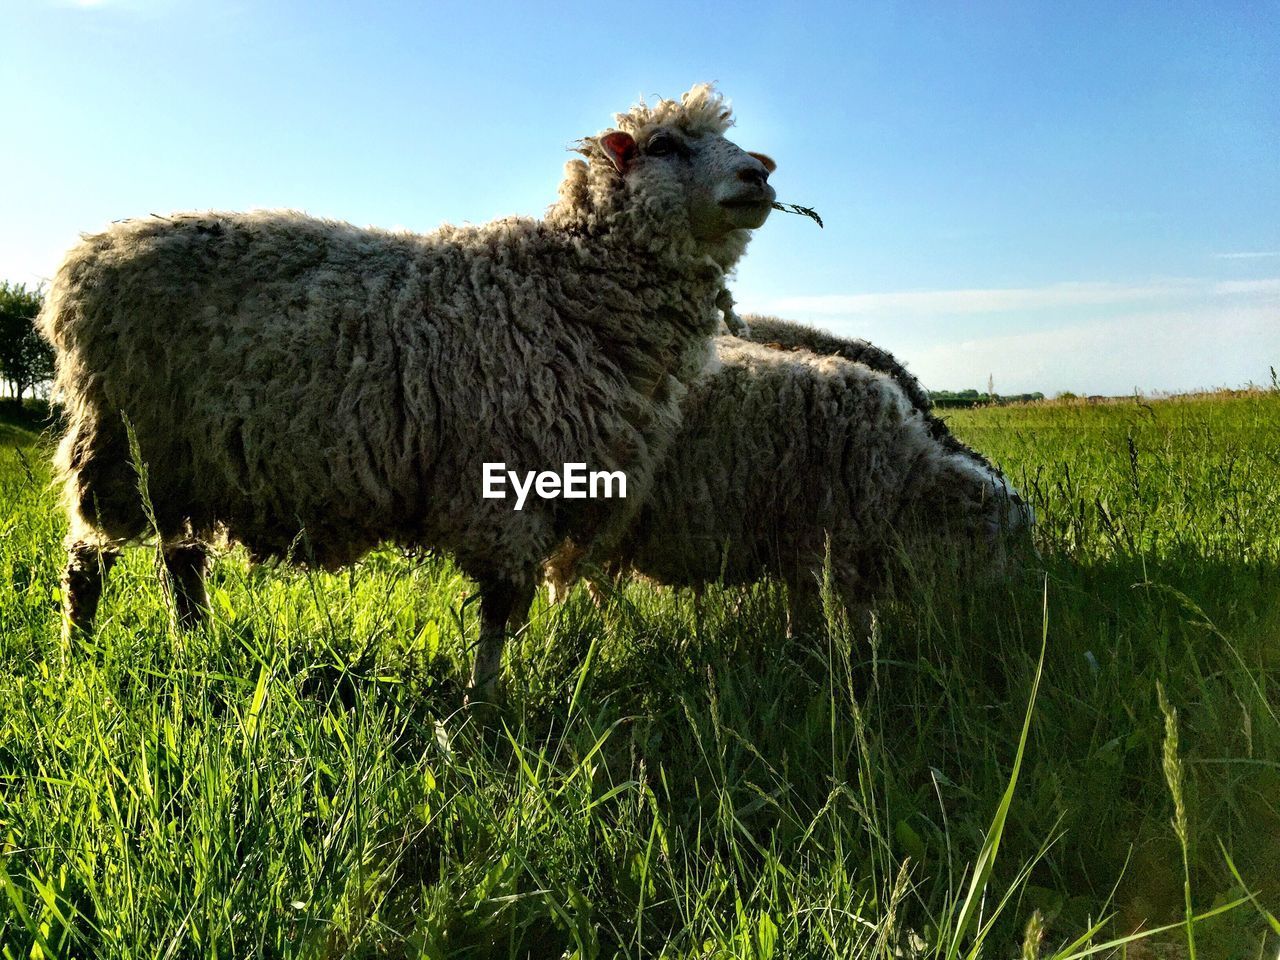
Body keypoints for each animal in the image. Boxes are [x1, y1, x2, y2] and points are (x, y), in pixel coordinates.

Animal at [40, 84, 773, 701]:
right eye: (665, 145)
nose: (759, 175)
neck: (564, 283)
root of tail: (85, 257)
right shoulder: (501, 486)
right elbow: (499, 607)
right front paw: (485, 707)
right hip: (120, 442)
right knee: (87, 563)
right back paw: (78, 657)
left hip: (185, 460)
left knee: (181, 563)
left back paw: (194, 648)